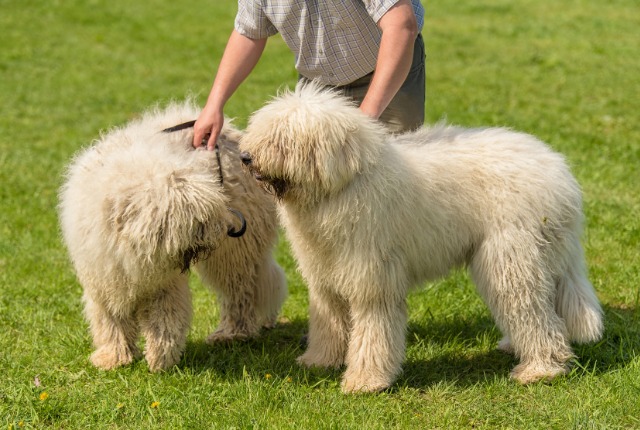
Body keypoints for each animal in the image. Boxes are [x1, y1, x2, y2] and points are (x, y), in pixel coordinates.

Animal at [58, 101, 288, 372]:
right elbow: (112, 320)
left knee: (240, 291)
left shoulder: (164, 284)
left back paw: (233, 333)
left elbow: (165, 319)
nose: (220, 231)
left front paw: (160, 359)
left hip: (235, 252)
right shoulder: (106, 278)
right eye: (191, 221)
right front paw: (114, 356)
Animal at [238, 83, 604, 394]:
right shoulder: (325, 275)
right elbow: (328, 322)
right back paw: (518, 347)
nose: (245, 157)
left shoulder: (373, 278)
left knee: (535, 314)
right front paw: (319, 361)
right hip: (539, 257)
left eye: (281, 139)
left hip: (512, 259)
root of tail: (559, 173)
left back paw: (541, 369)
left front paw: (365, 381)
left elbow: (372, 331)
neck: (344, 185)